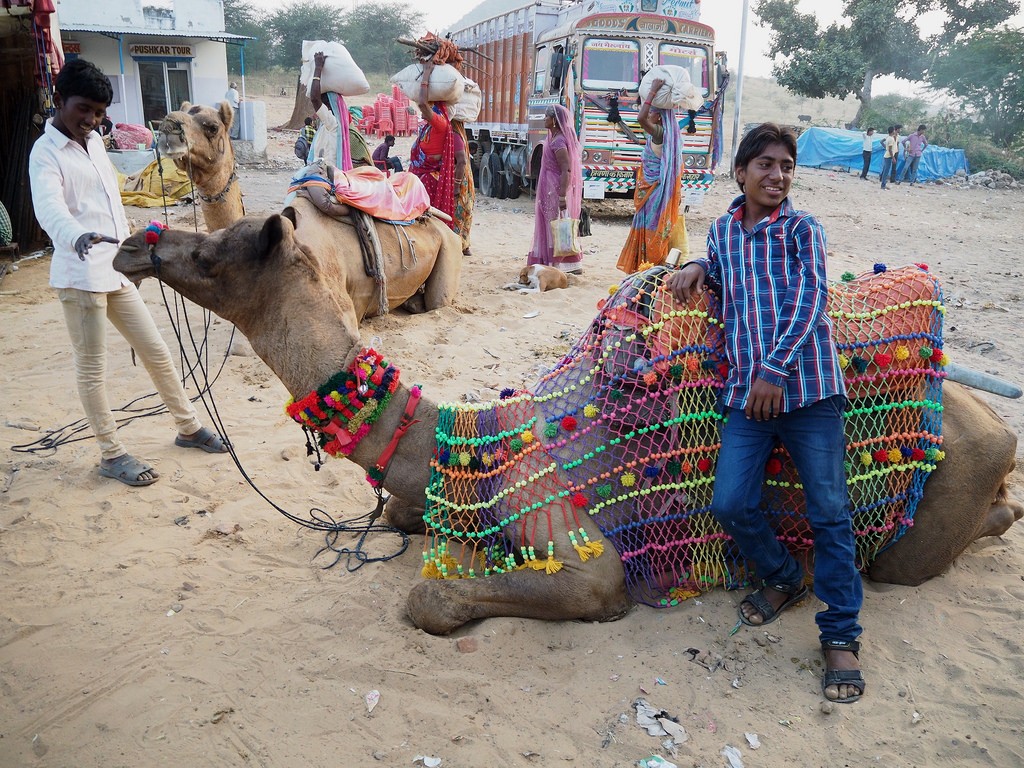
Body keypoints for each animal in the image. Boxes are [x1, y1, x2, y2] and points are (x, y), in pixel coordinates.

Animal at [112, 210, 1024, 638]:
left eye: (213, 252)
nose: (132, 244)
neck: (458, 438)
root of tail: (995, 425)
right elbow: (403, 520)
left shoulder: (574, 544)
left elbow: (435, 597)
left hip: (920, 523)